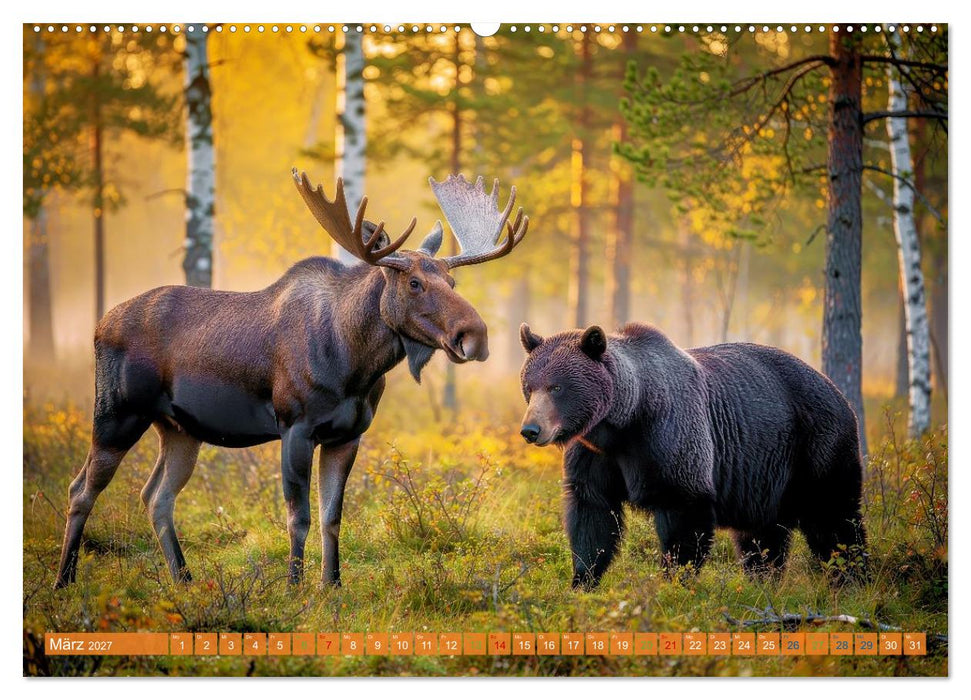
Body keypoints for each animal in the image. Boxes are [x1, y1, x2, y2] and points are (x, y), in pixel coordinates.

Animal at [518, 321, 867, 589]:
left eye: (557, 387)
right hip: (764, 476)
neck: (622, 420)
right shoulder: (595, 456)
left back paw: (851, 578)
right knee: (761, 537)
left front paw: (673, 583)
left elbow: (683, 514)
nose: (531, 429)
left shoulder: (669, 438)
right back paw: (764, 580)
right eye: (529, 386)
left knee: (834, 519)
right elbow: (593, 516)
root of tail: (838, 392)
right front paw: (582, 581)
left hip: (816, 445)